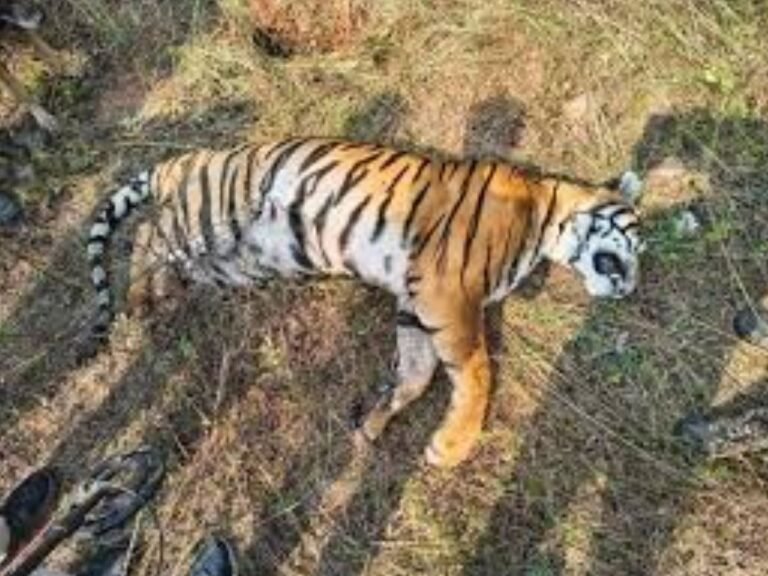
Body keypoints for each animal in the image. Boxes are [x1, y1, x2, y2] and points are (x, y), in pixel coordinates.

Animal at [86, 137, 643, 468]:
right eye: (637, 243)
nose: (629, 289)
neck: (547, 219)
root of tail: (184, 159)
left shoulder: (415, 300)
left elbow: (416, 374)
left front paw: (372, 424)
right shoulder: (449, 293)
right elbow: (477, 372)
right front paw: (453, 445)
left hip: (235, 262)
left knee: (169, 257)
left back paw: (161, 295)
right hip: (207, 216)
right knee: (148, 233)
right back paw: (138, 300)